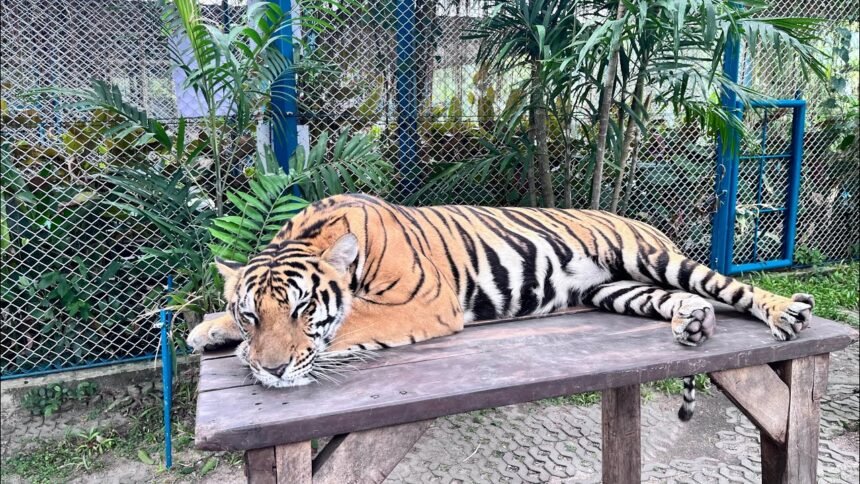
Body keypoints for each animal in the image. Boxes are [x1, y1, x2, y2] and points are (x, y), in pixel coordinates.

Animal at [187, 193, 814, 421]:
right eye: (252, 313)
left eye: (300, 310)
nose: (272, 370)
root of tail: (645, 224)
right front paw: (209, 330)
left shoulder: (425, 302)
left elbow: (351, 319)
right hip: (616, 288)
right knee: (691, 300)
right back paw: (693, 325)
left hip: (651, 259)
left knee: (728, 286)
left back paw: (786, 312)